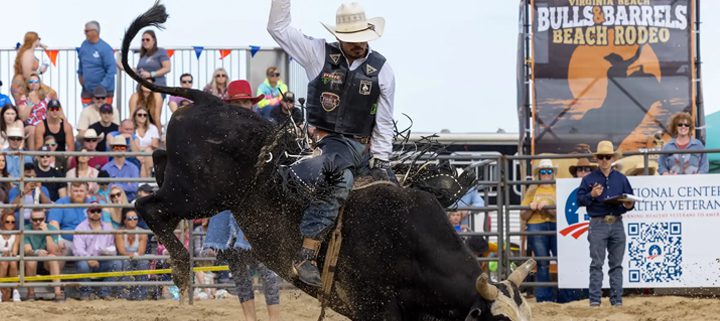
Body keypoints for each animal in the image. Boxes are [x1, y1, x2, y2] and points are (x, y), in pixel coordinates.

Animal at [125, 3, 536, 320]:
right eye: (499, 320)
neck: (409, 243)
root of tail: (208, 100)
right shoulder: (375, 308)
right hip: (197, 193)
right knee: (146, 205)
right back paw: (181, 268)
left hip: (192, 189)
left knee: (158, 171)